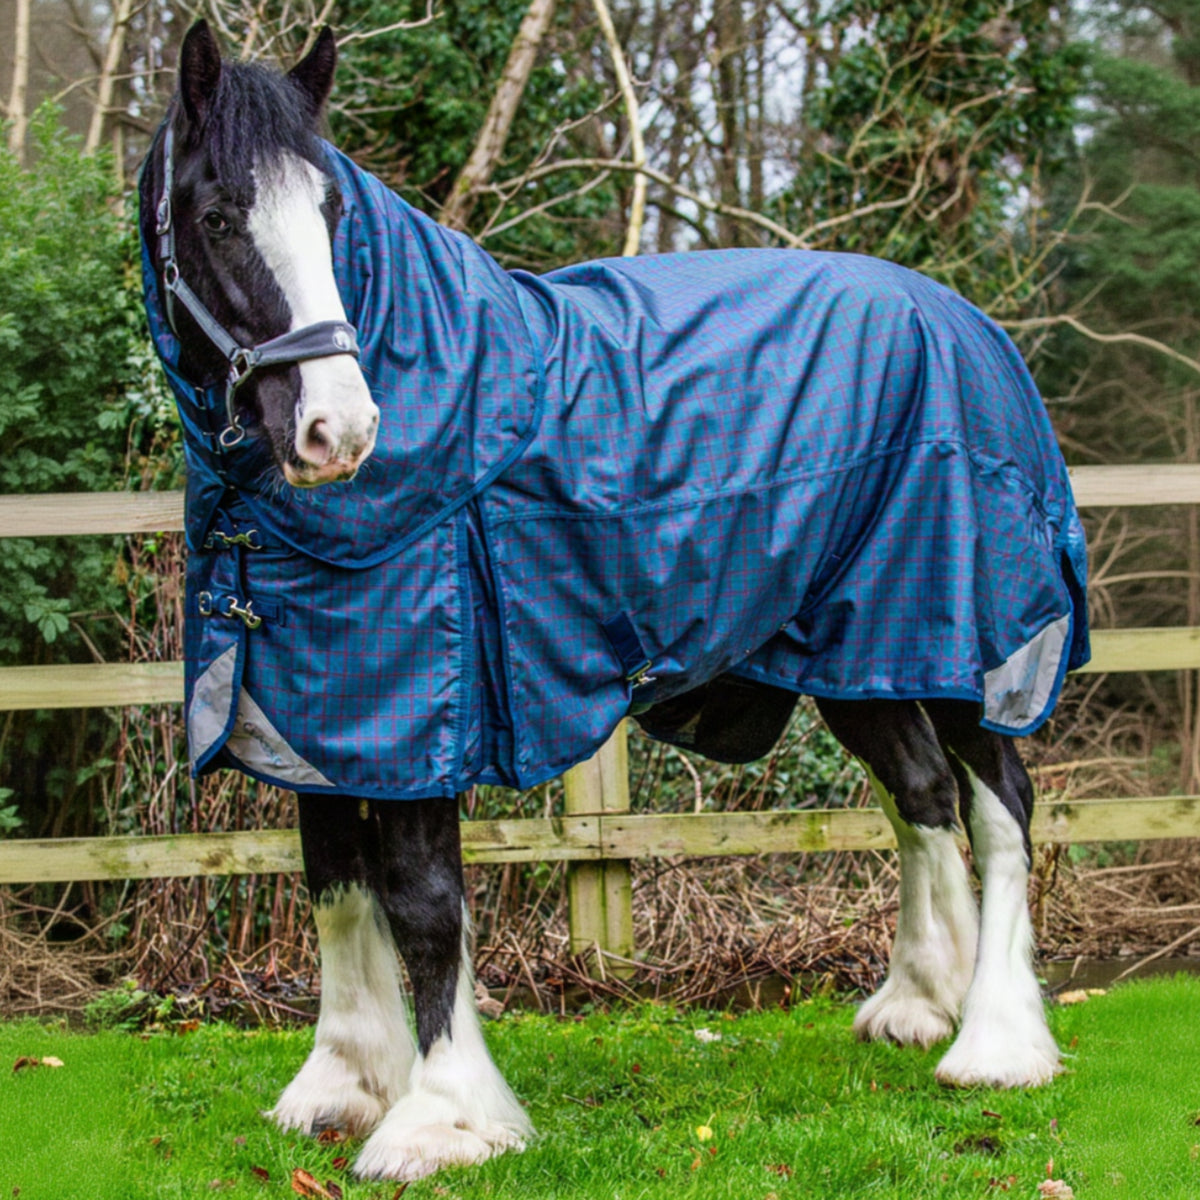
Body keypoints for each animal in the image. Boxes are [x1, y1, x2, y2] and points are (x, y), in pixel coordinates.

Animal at [138, 20, 1090, 1182]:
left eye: (331, 215)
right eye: (219, 216)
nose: (340, 429)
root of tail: (967, 321)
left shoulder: (424, 715)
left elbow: (421, 901)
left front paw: (442, 1117)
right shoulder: (319, 716)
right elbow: (336, 887)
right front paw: (344, 1084)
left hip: (972, 634)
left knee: (1000, 804)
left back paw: (996, 1045)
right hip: (865, 647)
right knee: (919, 794)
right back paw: (918, 1003)